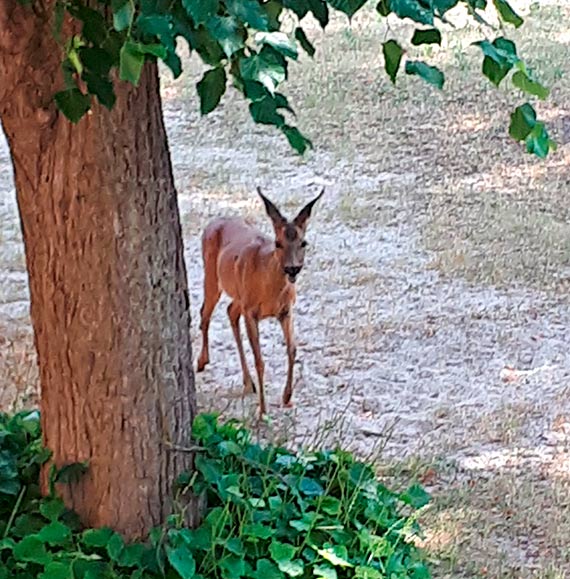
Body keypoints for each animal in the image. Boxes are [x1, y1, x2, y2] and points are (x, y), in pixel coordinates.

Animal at [195, 186, 322, 416]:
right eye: (278, 243)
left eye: (303, 242)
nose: (292, 269)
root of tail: (212, 222)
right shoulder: (251, 311)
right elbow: (260, 360)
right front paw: (262, 410)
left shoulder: (286, 311)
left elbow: (292, 349)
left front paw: (287, 397)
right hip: (212, 275)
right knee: (205, 312)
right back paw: (202, 361)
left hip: (238, 293)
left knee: (230, 311)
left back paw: (248, 382)